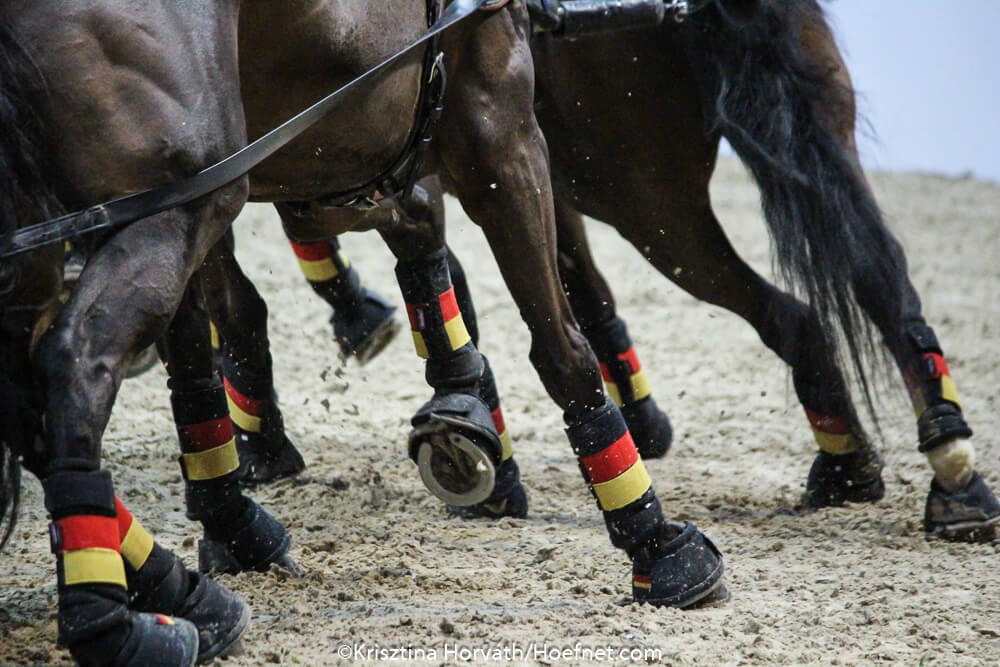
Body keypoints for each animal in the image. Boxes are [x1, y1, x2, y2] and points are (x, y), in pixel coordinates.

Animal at [1, 2, 736, 664]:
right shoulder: (498, 121)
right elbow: (560, 348)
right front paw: (656, 544)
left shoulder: (346, 146)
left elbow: (211, 356)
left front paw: (463, 415)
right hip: (180, 203)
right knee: (74, 366)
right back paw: (117, 622)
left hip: (139, 215)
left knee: (37, 407)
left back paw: (188, 584)